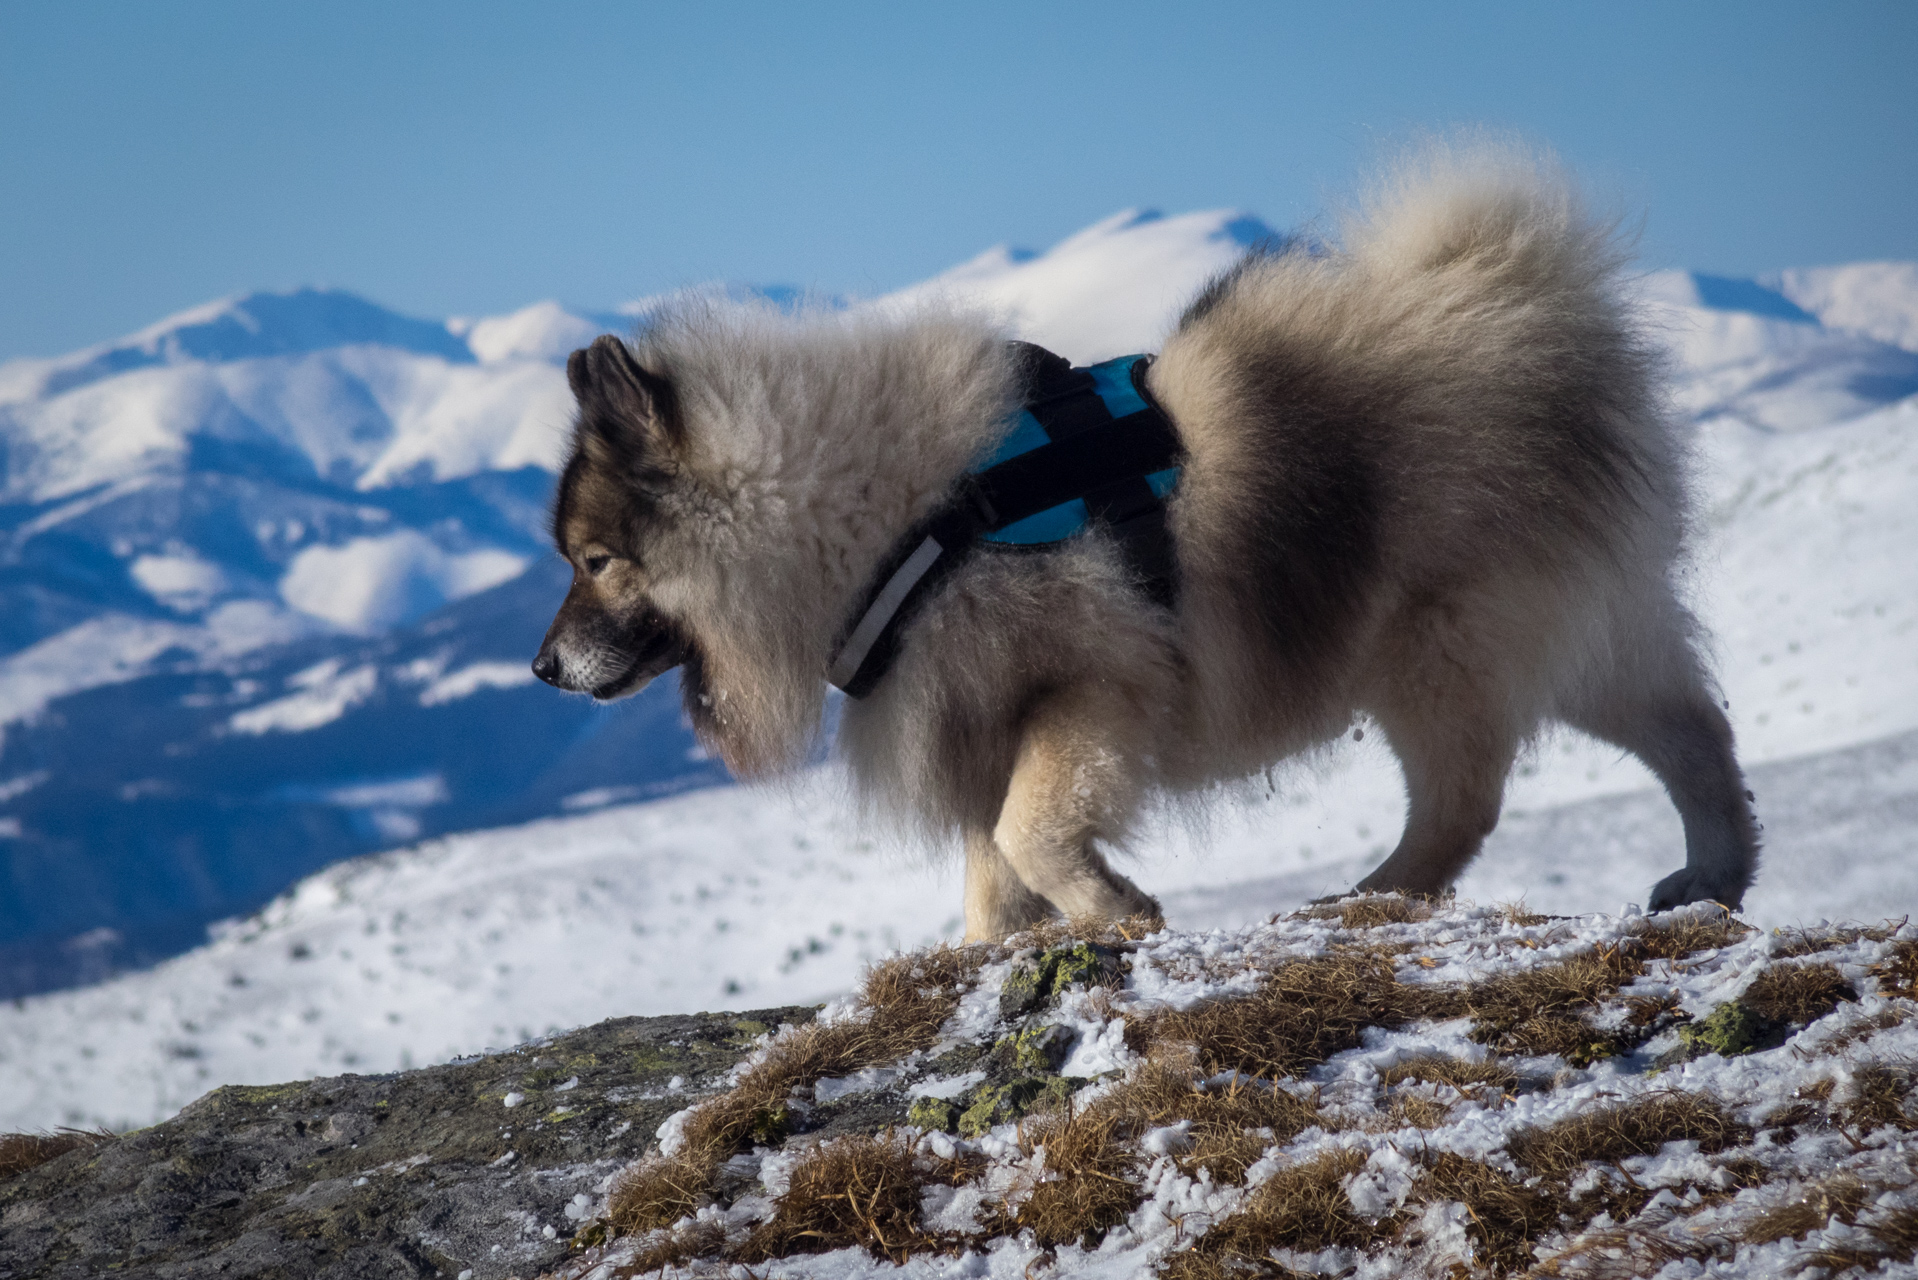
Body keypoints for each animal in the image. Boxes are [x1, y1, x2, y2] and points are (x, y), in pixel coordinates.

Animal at [533, 142, 1756, 940]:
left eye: (595, 560)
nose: (541, 667)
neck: (881, 516)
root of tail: (1521, 304)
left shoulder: (1088, 694)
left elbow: (1030, 834)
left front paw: (1118, 908)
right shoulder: (975, 721)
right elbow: (989, 871)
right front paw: (988, 953)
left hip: (1436, 648)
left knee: (1464, 803)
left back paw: (1372, 892)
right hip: (1580, 638)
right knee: (1696, 736)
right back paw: (1713, 875)